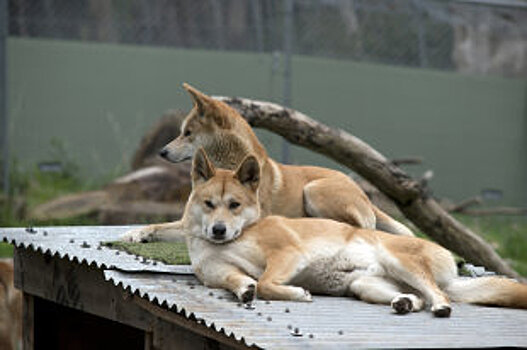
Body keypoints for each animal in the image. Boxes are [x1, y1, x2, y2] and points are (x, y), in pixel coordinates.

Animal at [125, 149, 527, 318]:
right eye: (209, 204)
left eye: (234, 205)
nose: (219, 229)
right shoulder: (222, 273)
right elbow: (243, 283)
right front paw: (245, 291)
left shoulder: (287, 254)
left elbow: (268, 282)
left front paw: (295, 293)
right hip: (366, 285)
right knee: (418, 298)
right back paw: (405, 304)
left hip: (398, 260)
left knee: (438, 295)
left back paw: (441, 307)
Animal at [155, 84, 414, 238]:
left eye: (187, 133)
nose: (162, 152)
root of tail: (362, 193)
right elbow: (161, 227)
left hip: (314, 190)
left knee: (358, 228)